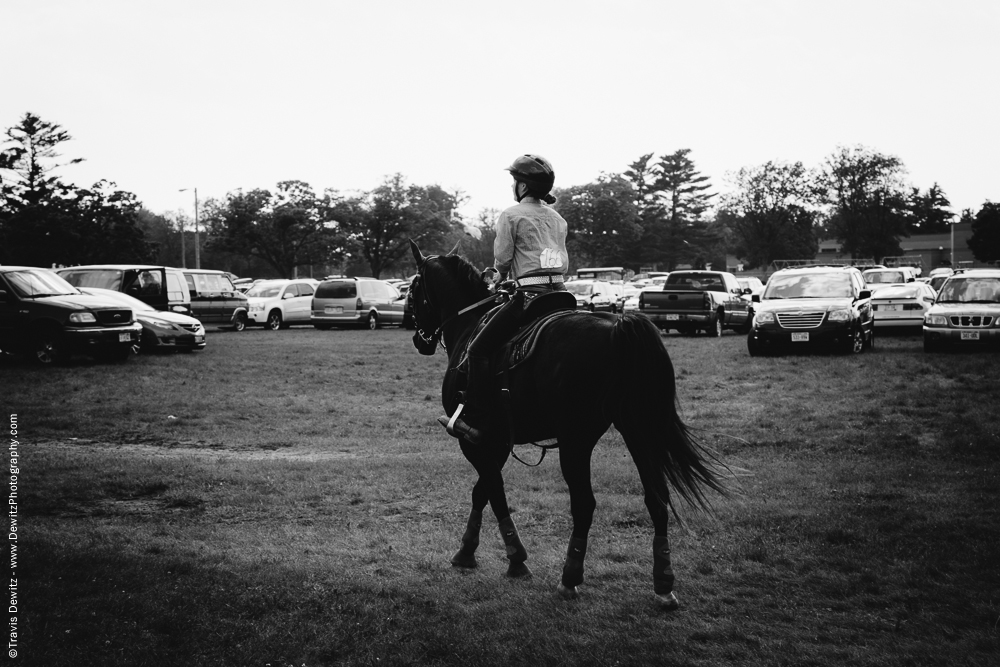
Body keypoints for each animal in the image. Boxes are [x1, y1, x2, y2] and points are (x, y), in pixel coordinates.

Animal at [406, 241, 728, 612]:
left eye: (414, 290)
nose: (419, 340)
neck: (469, 325)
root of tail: (618, 327)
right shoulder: (497, 440)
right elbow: (482, 491)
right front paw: (469, 551)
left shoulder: (474, 439)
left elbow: (493, 492)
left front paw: (512, 558)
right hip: (638, 431)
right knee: (657, 498)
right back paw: (663, 585)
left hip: (577, 440)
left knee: (584, 504)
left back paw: (570, 578)